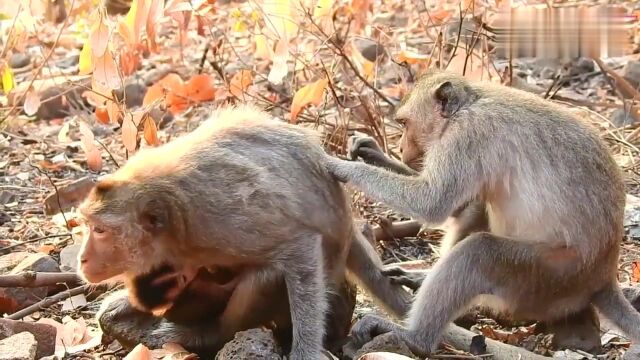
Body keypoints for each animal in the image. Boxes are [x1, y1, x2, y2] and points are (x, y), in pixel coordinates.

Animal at [77, 105, 412, 360]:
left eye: (100, 230)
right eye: (89, 227)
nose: (82, 259)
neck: (172, 226)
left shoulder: (221, 218)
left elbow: (299, 246)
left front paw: (305, 350)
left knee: (267, 276)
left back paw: (208, 334)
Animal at [328, 70, 640, 358]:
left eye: (404, 123)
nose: (402, 147)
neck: (468, 105)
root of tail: (603, 276)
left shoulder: (466, 137)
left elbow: (433, 203)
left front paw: (342, 166)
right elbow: (457, 205)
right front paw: (372, 153)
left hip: (551, 278)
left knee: (480, 252)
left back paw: (415, 337)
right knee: (477, 207)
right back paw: (422, 279)